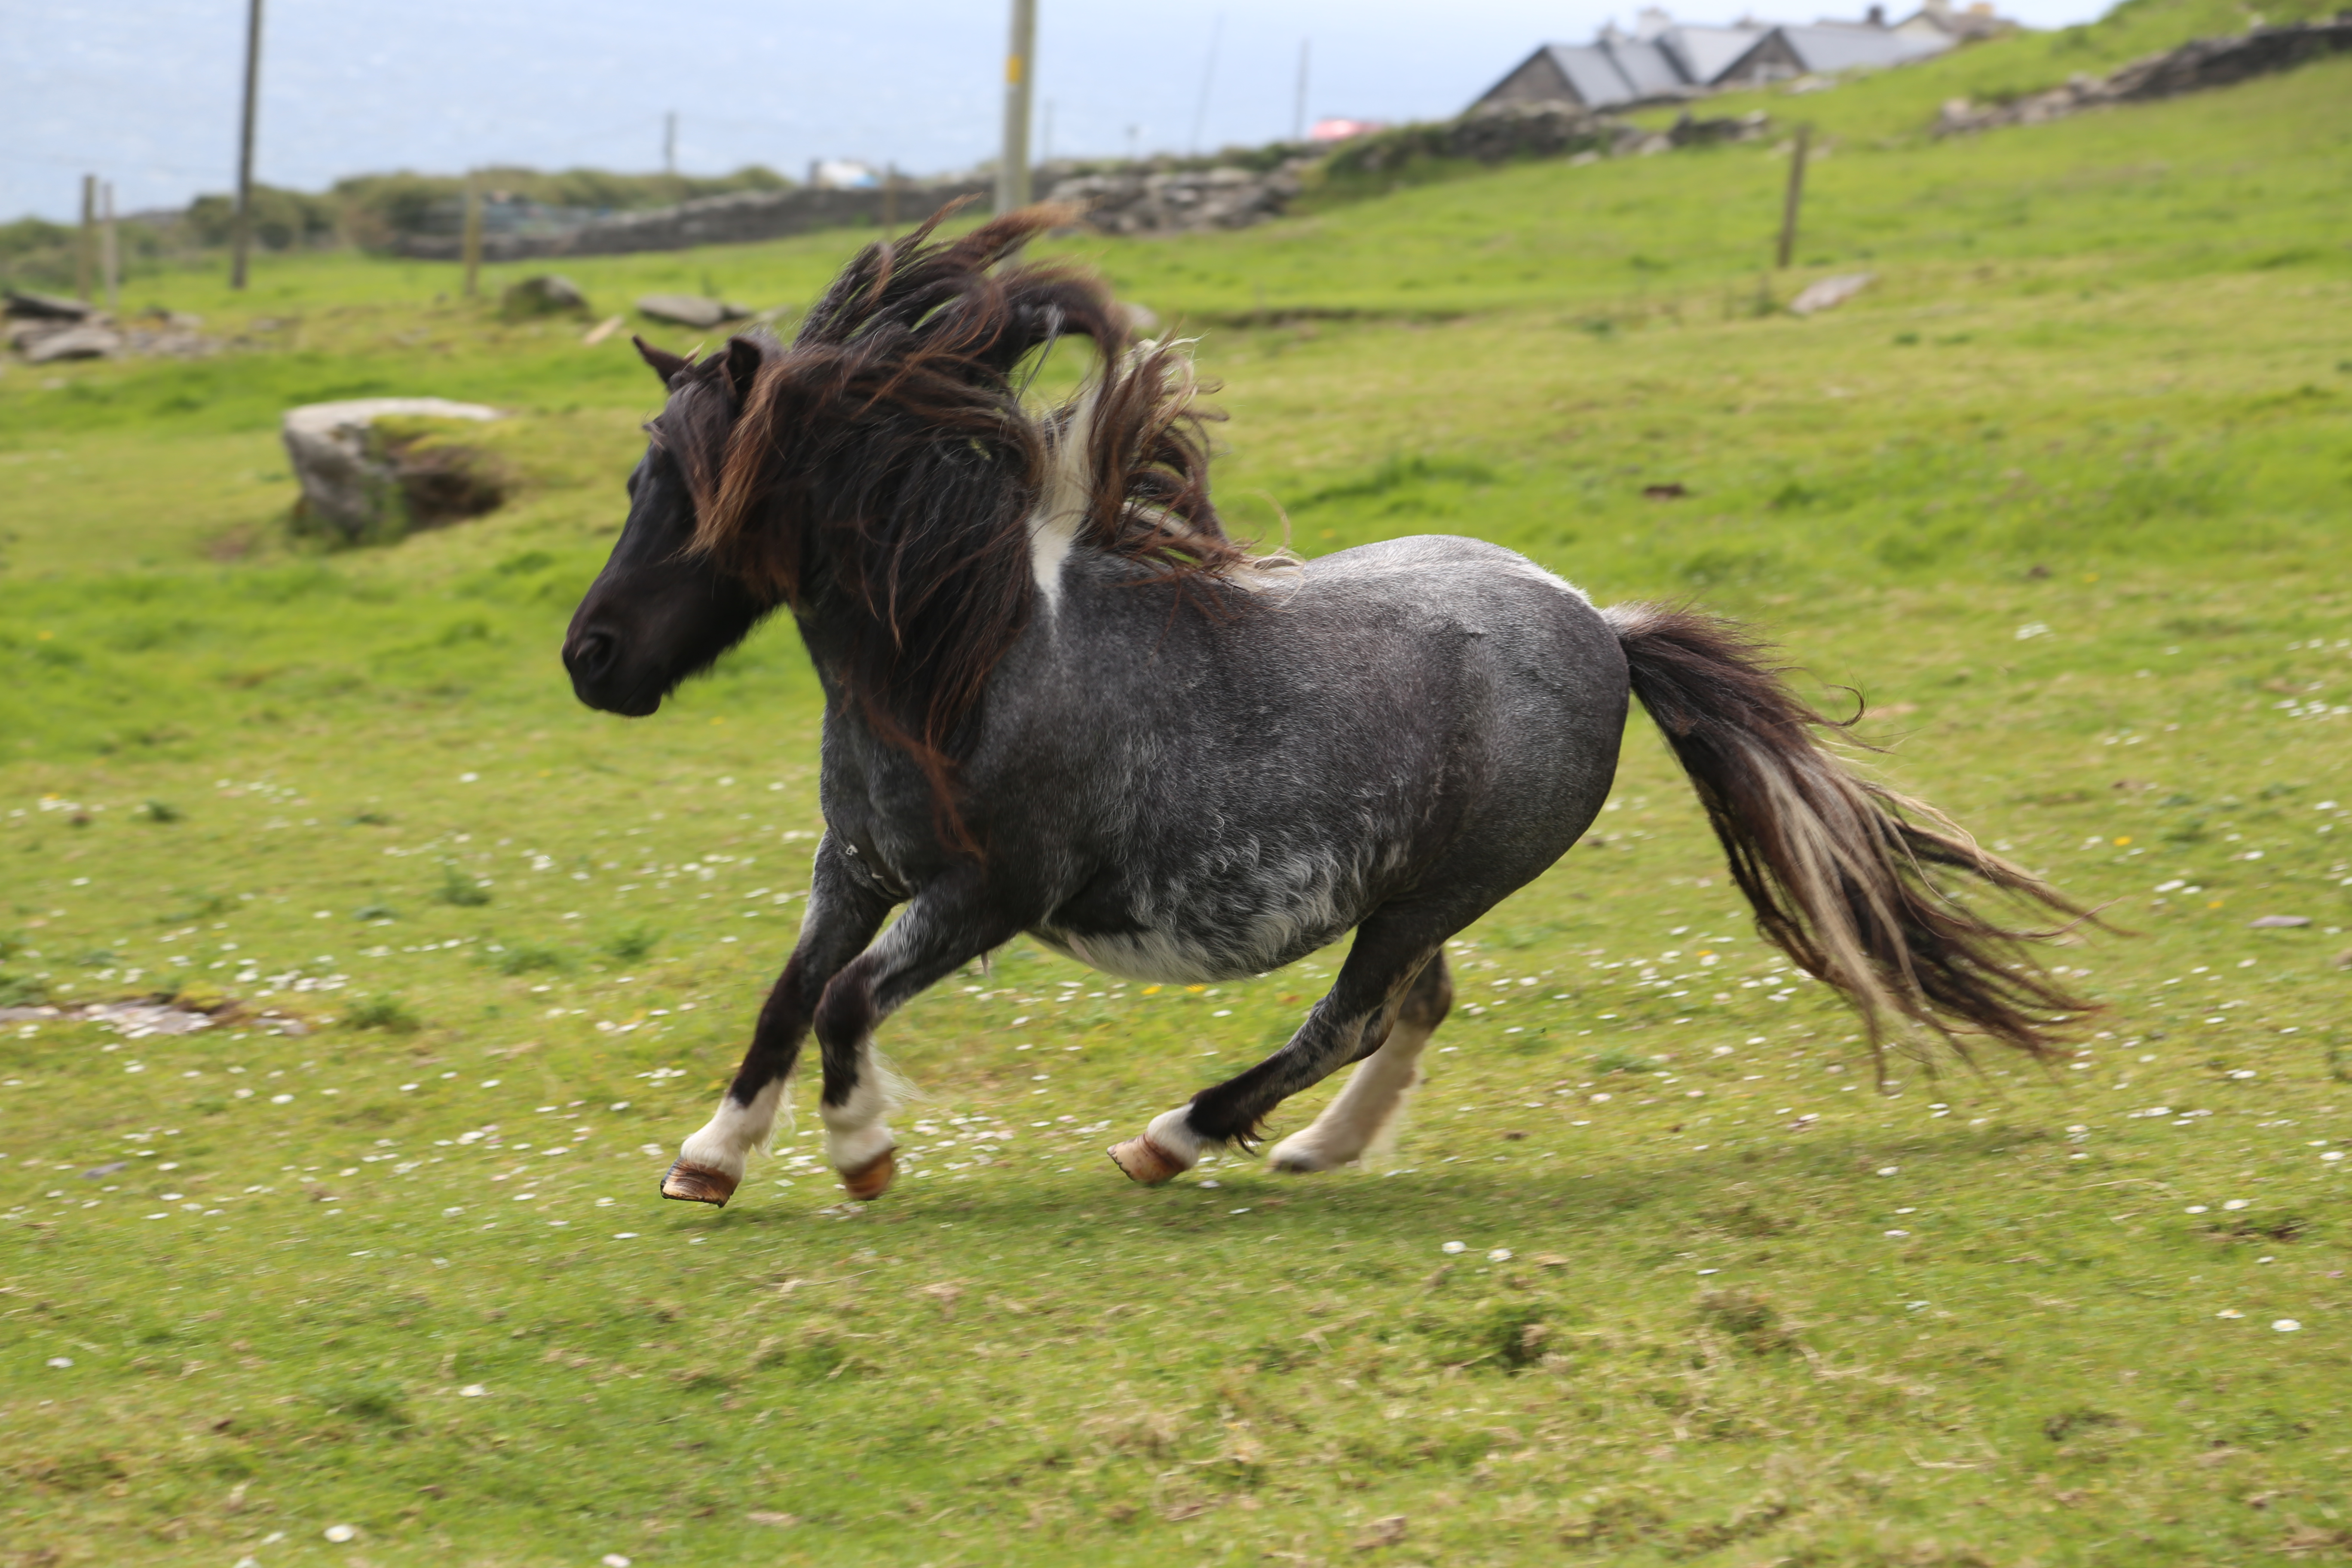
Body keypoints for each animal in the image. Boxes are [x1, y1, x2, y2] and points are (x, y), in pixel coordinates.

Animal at [560, 208, 2089, 1213]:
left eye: (697, 491)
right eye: (640, 476)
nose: (590, 658)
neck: (967, 662)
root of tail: (1605, 628)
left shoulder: (983, 897)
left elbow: (847, 1004)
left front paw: (864, 1153)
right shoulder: (856, 868)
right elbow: (787, 995)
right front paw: (708, 1159)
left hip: (1439, 885)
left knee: (1349, 1017)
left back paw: (1175, 1137)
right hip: (1416, 889)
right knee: (1416, 1006)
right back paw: (1319, 1151)